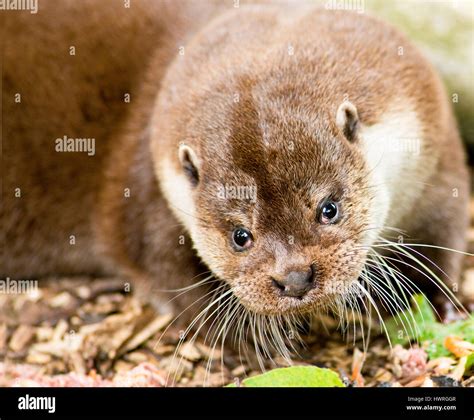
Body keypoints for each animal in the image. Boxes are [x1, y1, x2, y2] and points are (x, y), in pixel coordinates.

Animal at [2, 0, 470, 352]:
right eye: (240, 236)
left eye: (329, 209)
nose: (295, 279)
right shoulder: (145, 182)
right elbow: (165, 271)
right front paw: (255, 339)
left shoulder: (435, 155)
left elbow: (440, 237)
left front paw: (437, 305)